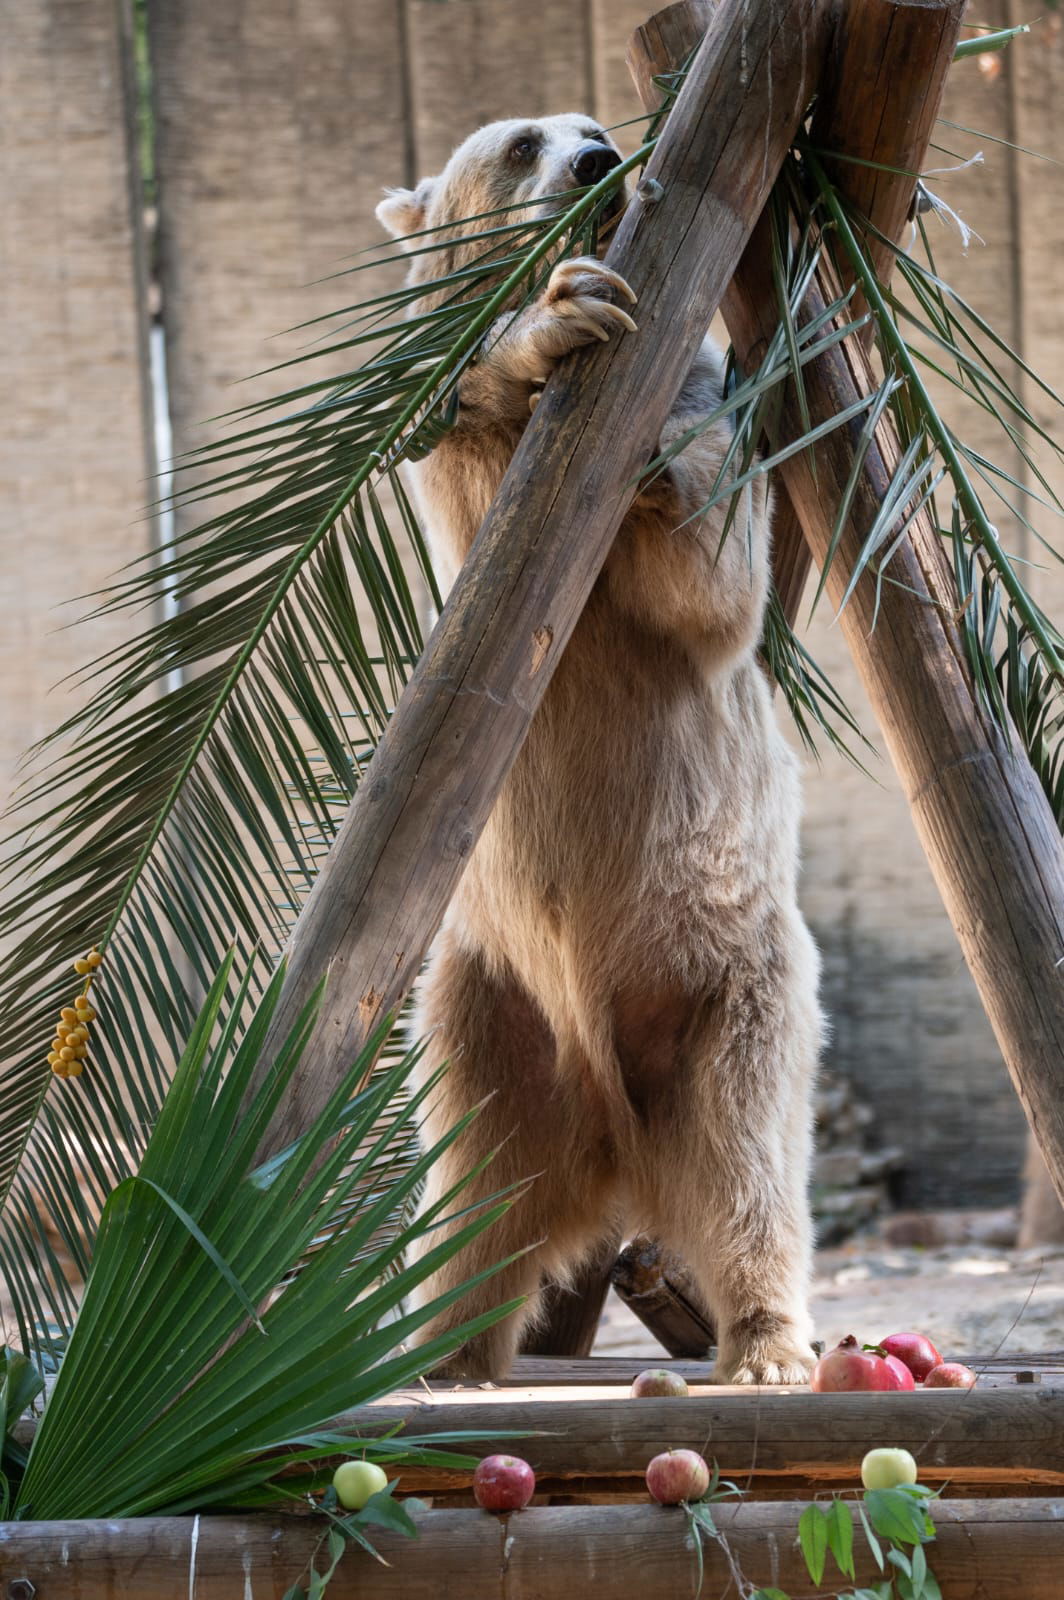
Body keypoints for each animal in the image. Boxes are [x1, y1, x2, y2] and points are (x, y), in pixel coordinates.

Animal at [377, 116, 825, 1388]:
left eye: (594, 128)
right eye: (522, 141)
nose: (593, 162)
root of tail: (617, 1149)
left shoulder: (717, 423)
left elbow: (713, 575)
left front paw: (658, 442)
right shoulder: (474, 498)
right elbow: (463, 426)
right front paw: (563, 308)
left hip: (730, 982)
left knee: (749, 1161)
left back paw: (766, 1345)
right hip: (483, 1001)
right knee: (471, 1184)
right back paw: (439, 1349)